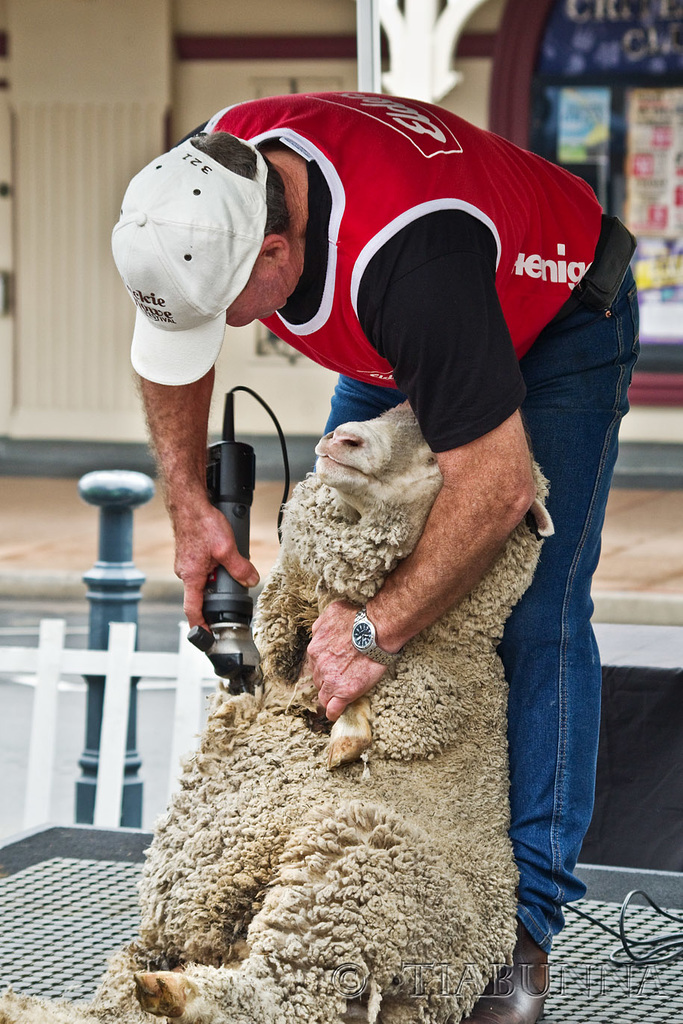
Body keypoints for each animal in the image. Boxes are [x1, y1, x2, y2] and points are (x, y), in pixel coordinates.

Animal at [0, 399, 552, 1024]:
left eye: (441, 449)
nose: (344, 438)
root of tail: (444, 992)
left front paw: (349, 728)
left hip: (350, 873)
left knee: (272, 997)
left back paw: (174, 991)